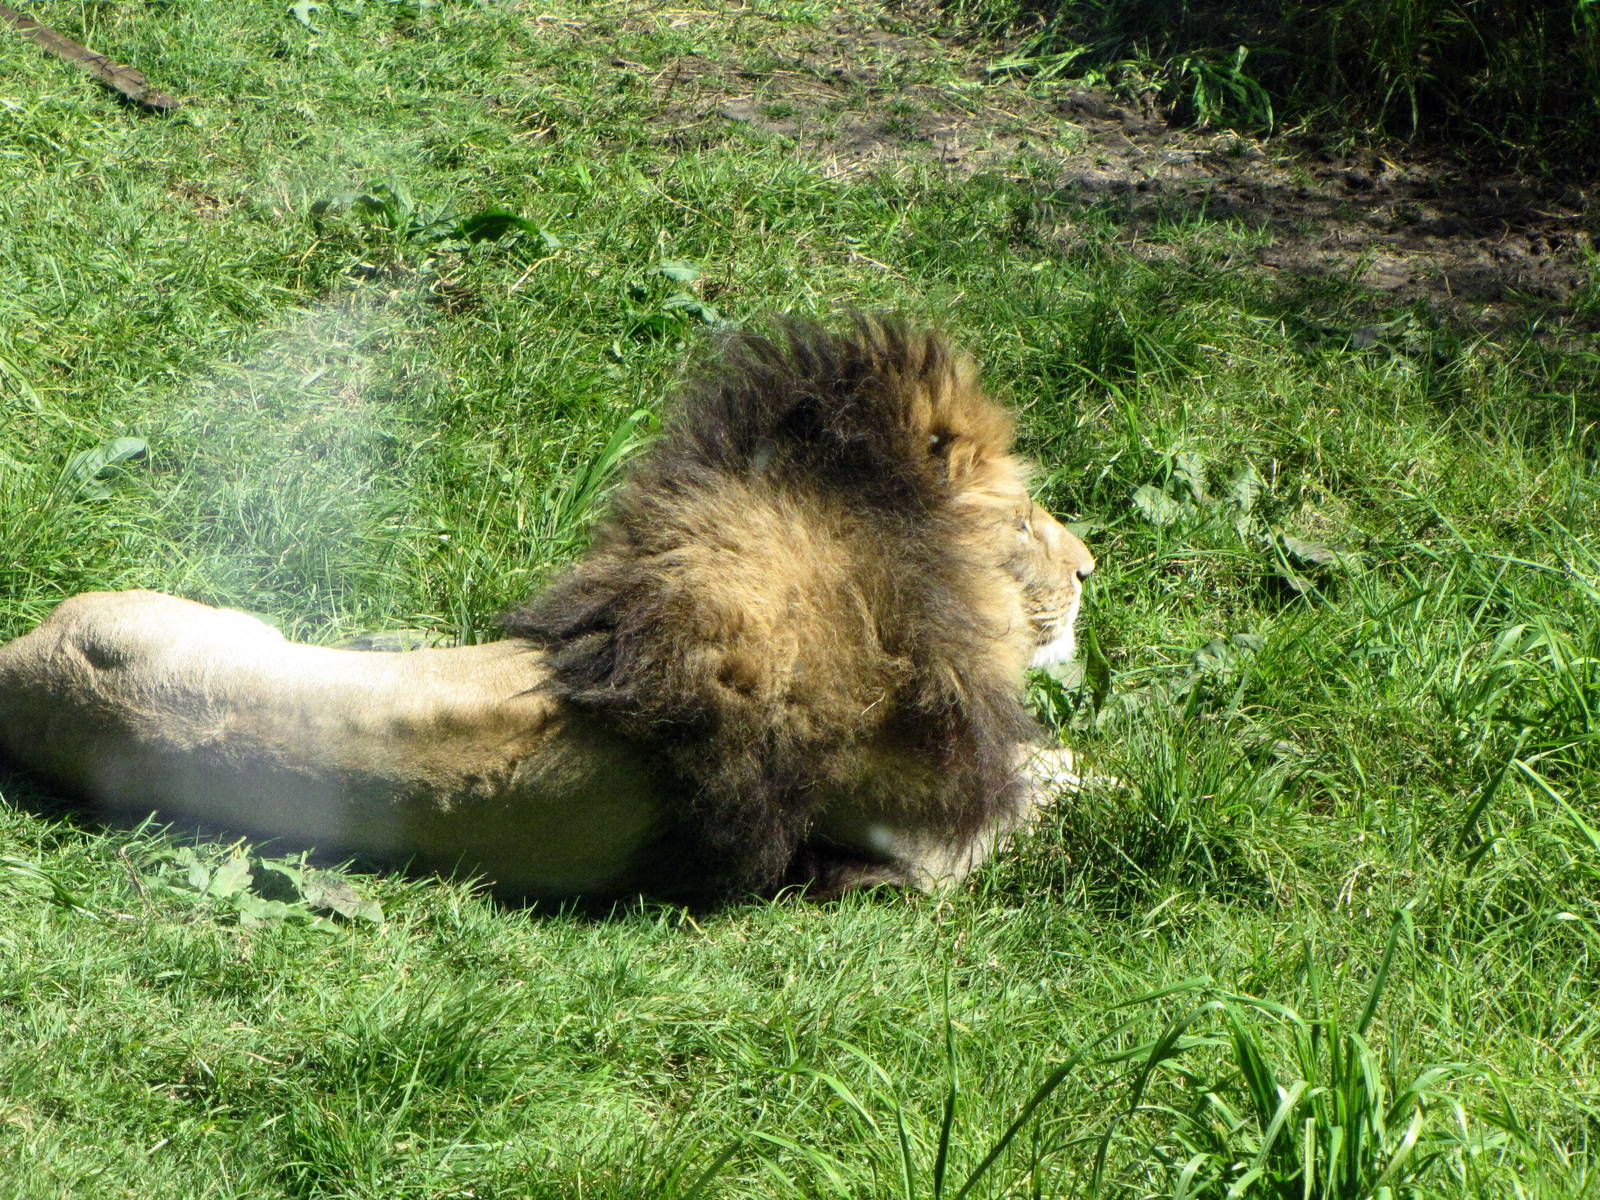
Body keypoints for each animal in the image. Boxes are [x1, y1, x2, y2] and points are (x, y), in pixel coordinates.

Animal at [0, 317, 1095, 904]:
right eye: (1028, 522)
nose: (1090, 569)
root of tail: (21, 665)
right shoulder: (924, 835)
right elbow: (1054, 789)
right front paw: (1085, 772)